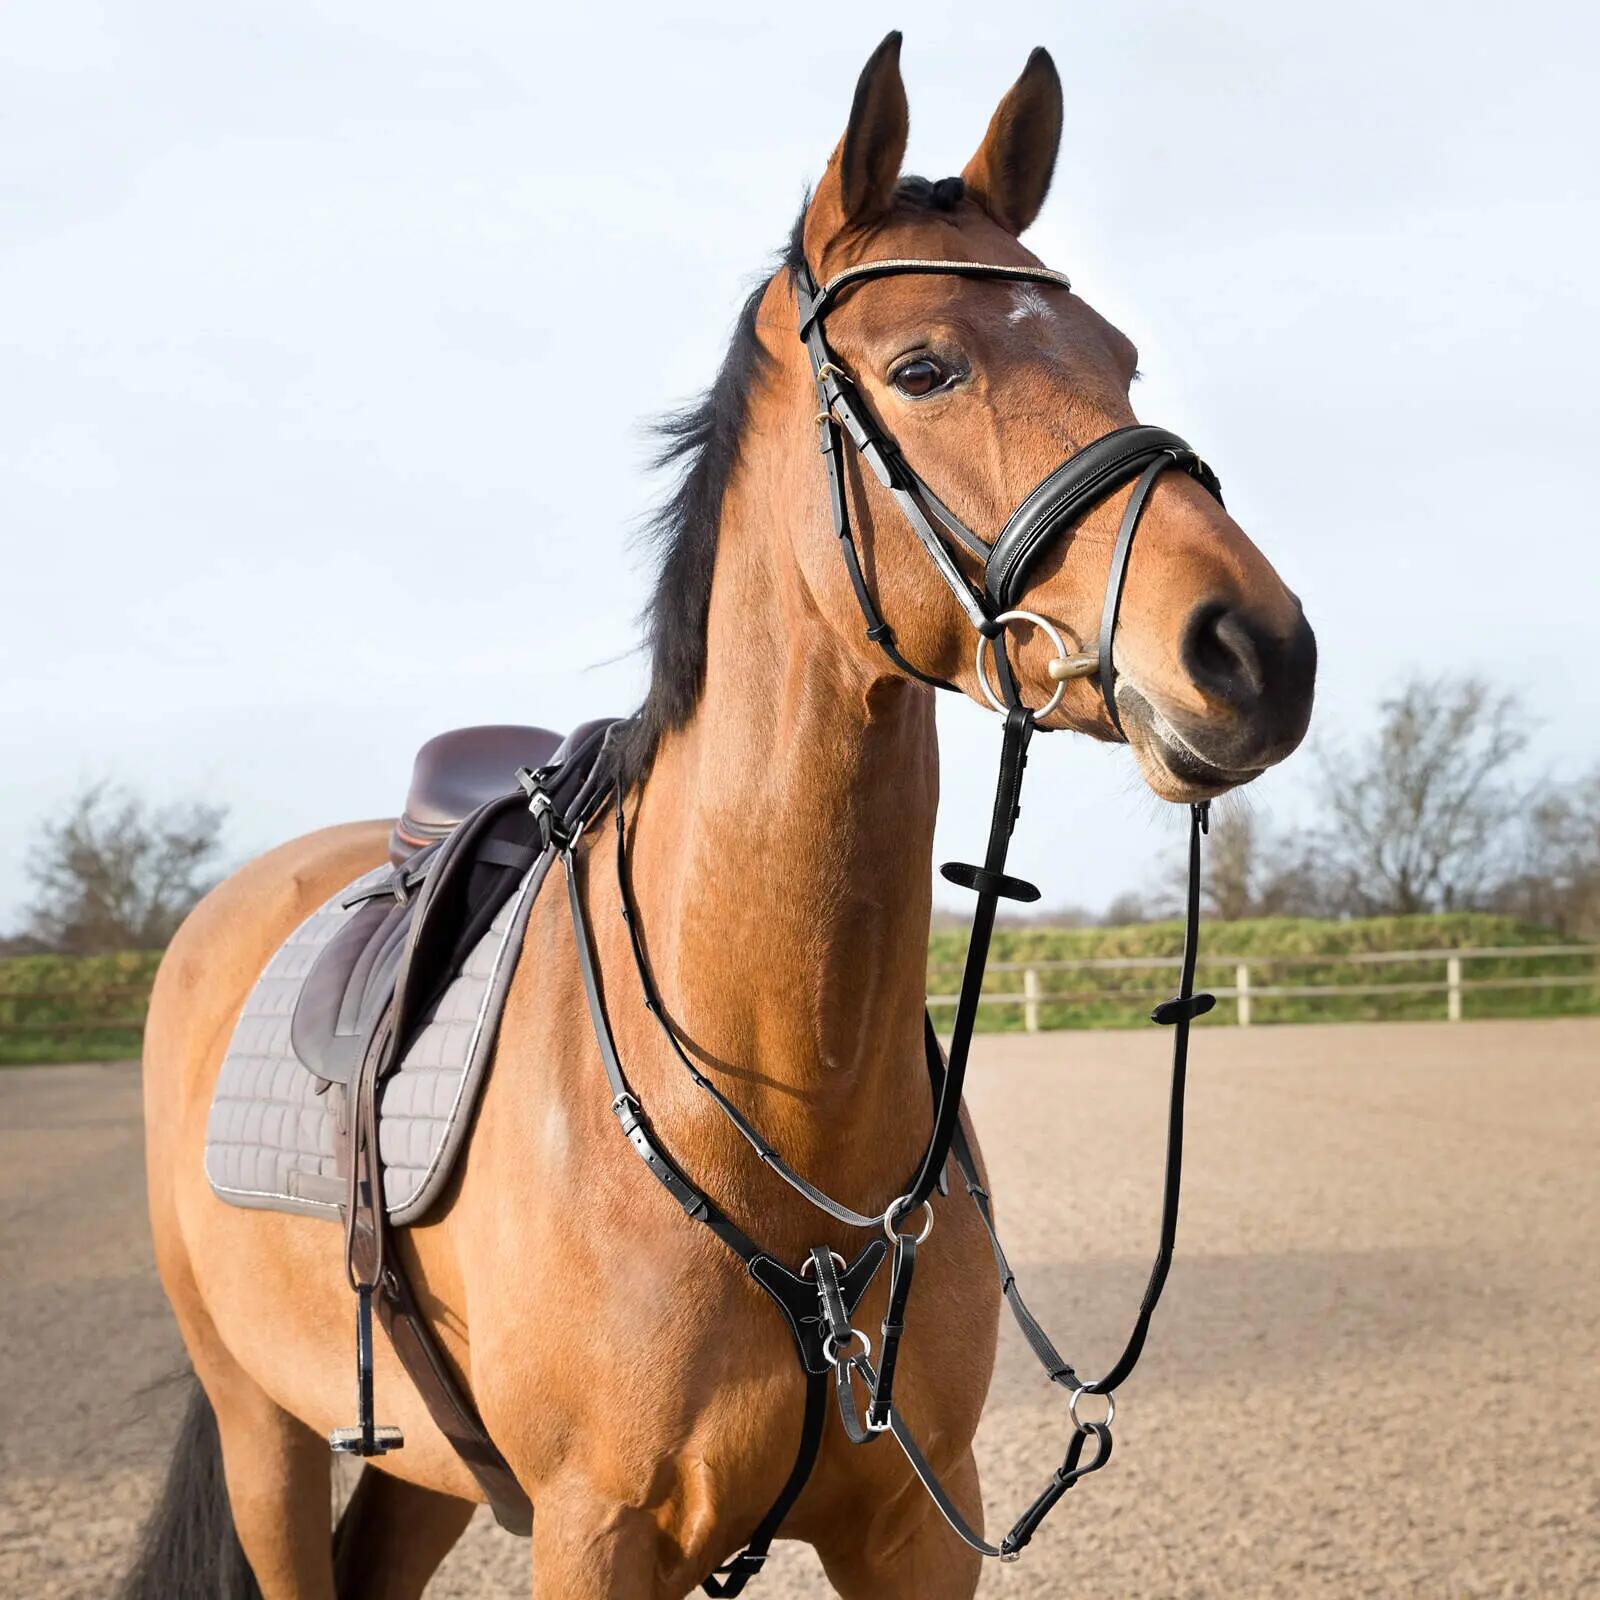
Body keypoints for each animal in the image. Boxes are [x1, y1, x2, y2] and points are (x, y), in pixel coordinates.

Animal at [130, 33, 1315, 1600]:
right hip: (262, 1426)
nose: (1256, 650)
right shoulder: (598, 1533)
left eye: (1118, 357)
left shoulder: (914, 1530)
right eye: (924, 367)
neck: (775, 1109)